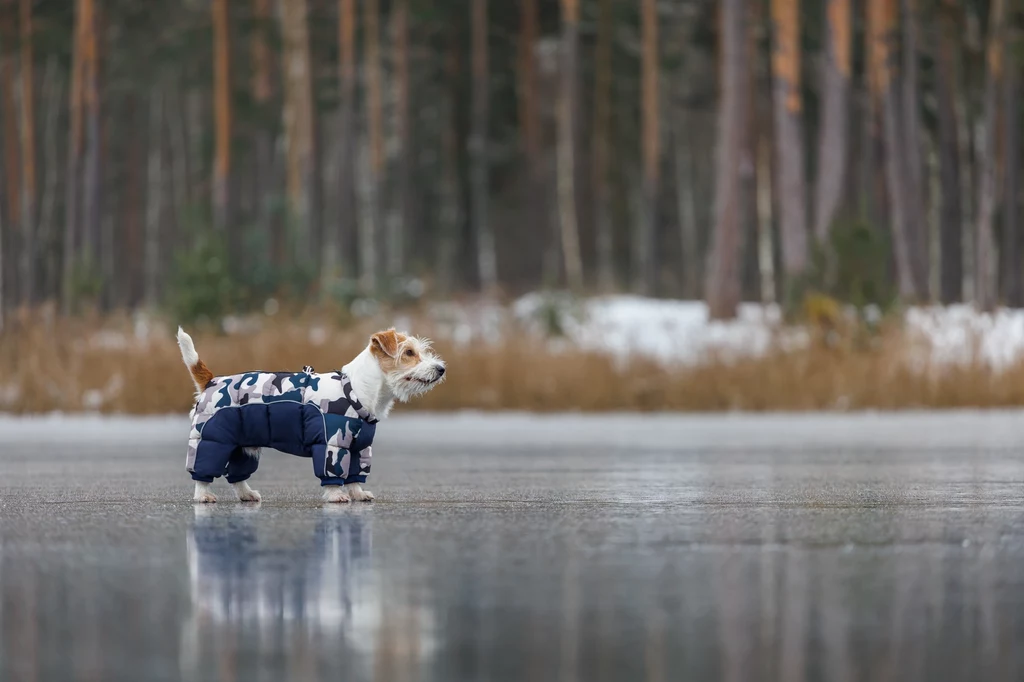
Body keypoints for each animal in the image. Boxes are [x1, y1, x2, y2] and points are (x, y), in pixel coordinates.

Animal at [177, 327, 448, 501]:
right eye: (409, 353)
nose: (441, 369)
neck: (354, 390)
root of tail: (212, 381)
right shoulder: (332, 444)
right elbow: (333, 473)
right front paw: (336, 495)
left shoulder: (359, 448)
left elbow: (354, 476)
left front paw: (358, 494)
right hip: (211, 440)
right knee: (202, 472)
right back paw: (204, 495)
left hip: (242, 446)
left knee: (236, 475)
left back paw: (247, 494)